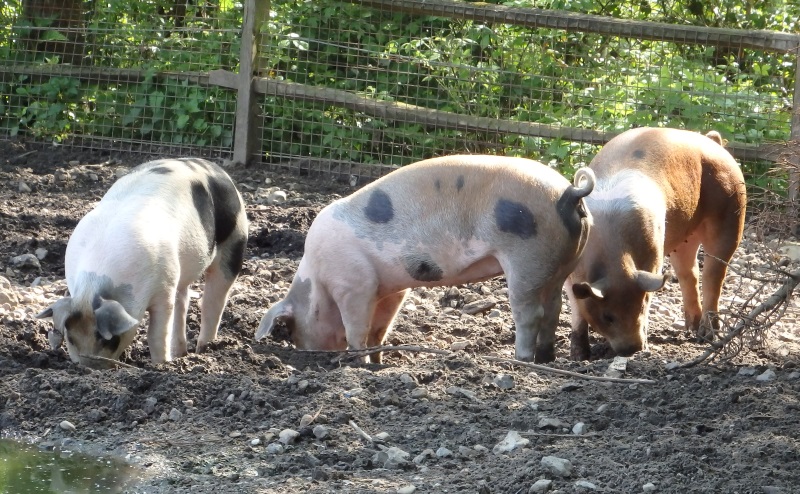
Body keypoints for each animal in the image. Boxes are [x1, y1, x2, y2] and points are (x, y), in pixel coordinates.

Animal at [37, 158, 248, 368]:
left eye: (109, 340)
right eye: (70, 338)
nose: (90, 369)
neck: (94, 283)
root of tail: (216, 168)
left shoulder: (163, 290)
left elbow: (155, 334)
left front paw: (161, 365)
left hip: (235, 239)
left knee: (213, 300)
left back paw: (204, 350)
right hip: (179, 270)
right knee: (183, 299)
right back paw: (180, 354)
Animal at [256, 155, 596, 363]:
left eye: (293, 328)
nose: (308, 352)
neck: (316, 278)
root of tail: (569, 193)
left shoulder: (354, 284)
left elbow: (356, 329)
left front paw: (356, 361)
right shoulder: (389, 289)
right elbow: (379, 329)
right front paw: (376, 361)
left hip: (527, 259)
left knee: (530, 314)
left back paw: (520, 360)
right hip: (559, 264)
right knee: (554, 310)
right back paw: (546, 359)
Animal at [565, 127, 747, 360]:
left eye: (641, 307)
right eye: (607, 316)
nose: (632, 349)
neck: (614, 255)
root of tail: (713, 142)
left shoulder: (653, 260)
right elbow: (577, 309)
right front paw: (579, 356)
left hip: (732, 211)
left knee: (713, 275)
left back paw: (706, 336)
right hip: (684, 236)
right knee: (689, 273)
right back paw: (691, 328)